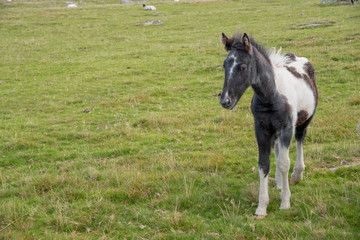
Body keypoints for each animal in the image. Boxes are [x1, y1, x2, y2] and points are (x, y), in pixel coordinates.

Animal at [219, 32, 318, 218]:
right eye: (224, 66)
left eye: (242, 67)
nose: (225, 101)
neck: (271, 96)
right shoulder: (262, 130)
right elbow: (264, 164)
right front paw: (261, 207)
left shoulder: (286, 129)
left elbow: (284, 163)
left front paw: (285, 202)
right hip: (274, 132)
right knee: (277, 150)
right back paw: (279, 182)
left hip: (304, 122)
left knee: (300, 141)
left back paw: (296, 175)